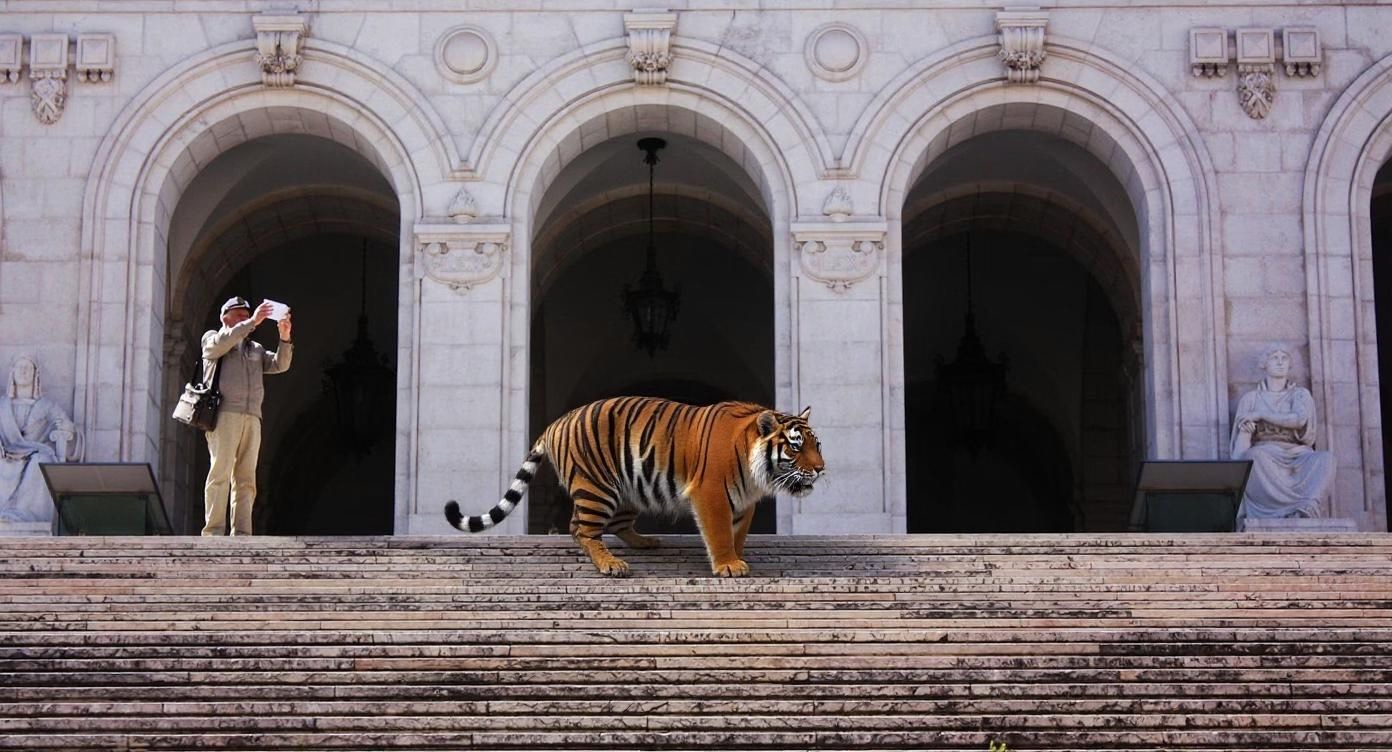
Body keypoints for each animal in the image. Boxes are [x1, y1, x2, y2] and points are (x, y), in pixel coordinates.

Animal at [444, 397, 825, 577]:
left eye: (816, 445)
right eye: (795, 447)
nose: (821, 469)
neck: (755, 471)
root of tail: (558, 421)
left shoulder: (744, 502)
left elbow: (737, 533)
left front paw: (736, 556)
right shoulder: (712, 494)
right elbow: (718, 532)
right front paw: (728, 565)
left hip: (629, 488)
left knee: (604, 525)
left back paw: (645, 542)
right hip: (599, 486)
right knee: (582, 529)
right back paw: (610, 564)